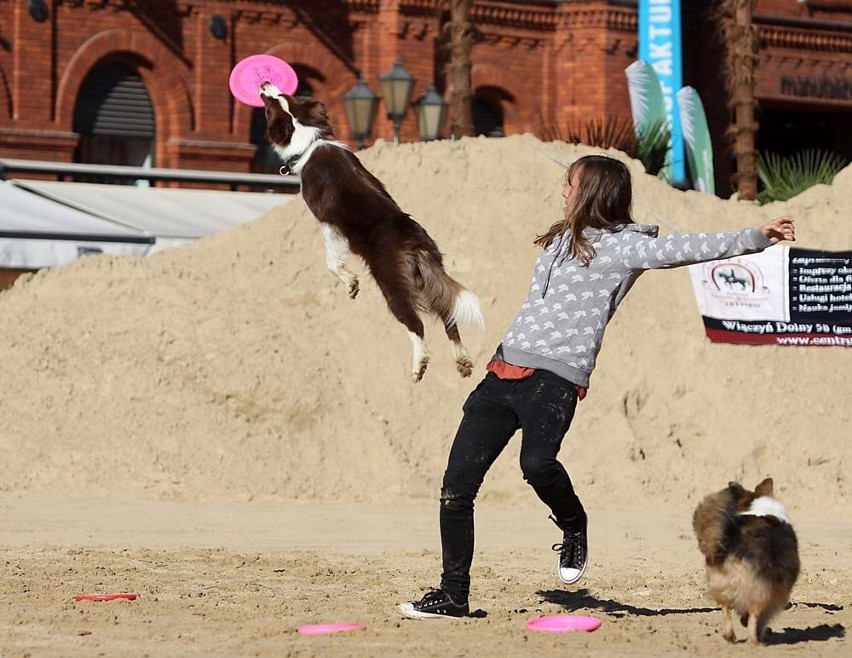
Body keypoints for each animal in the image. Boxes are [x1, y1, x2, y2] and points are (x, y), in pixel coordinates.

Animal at [260, 82, 482, 382]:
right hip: (431, 279)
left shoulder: (328, 224)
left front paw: (350, 282)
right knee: (450, 316)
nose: (264, 84)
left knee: (416, 324)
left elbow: (332, 262)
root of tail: (414, 243)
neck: (309, 142)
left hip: (392, 286)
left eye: (270, 105)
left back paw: (419, 364)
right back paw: (463, 361)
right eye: (283, 96)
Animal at [692, 474, 800, 644]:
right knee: (754, 614)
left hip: (721, 585)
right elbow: (762, 617)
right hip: (759, 591)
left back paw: (730, 635)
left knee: (726, 608)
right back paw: (753, 641)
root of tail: (732, 541)